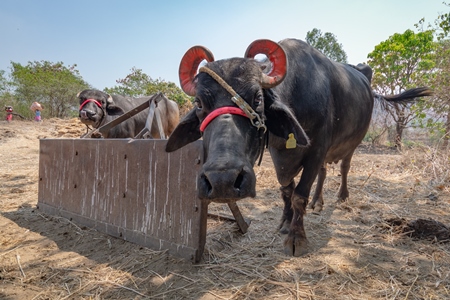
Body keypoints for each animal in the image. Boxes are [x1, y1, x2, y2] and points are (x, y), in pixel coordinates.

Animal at [165, 38, 432, 256]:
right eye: (199, 103)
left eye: (258, 98)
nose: (223, 181)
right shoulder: (277, 154)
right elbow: (286, 191)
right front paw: (285, 222)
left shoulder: (316, 150)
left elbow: (299, 195)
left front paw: (296, 238)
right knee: (324, 172)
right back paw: (318, 201)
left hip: (353, 143)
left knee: (344, 167)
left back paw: (342, 196)